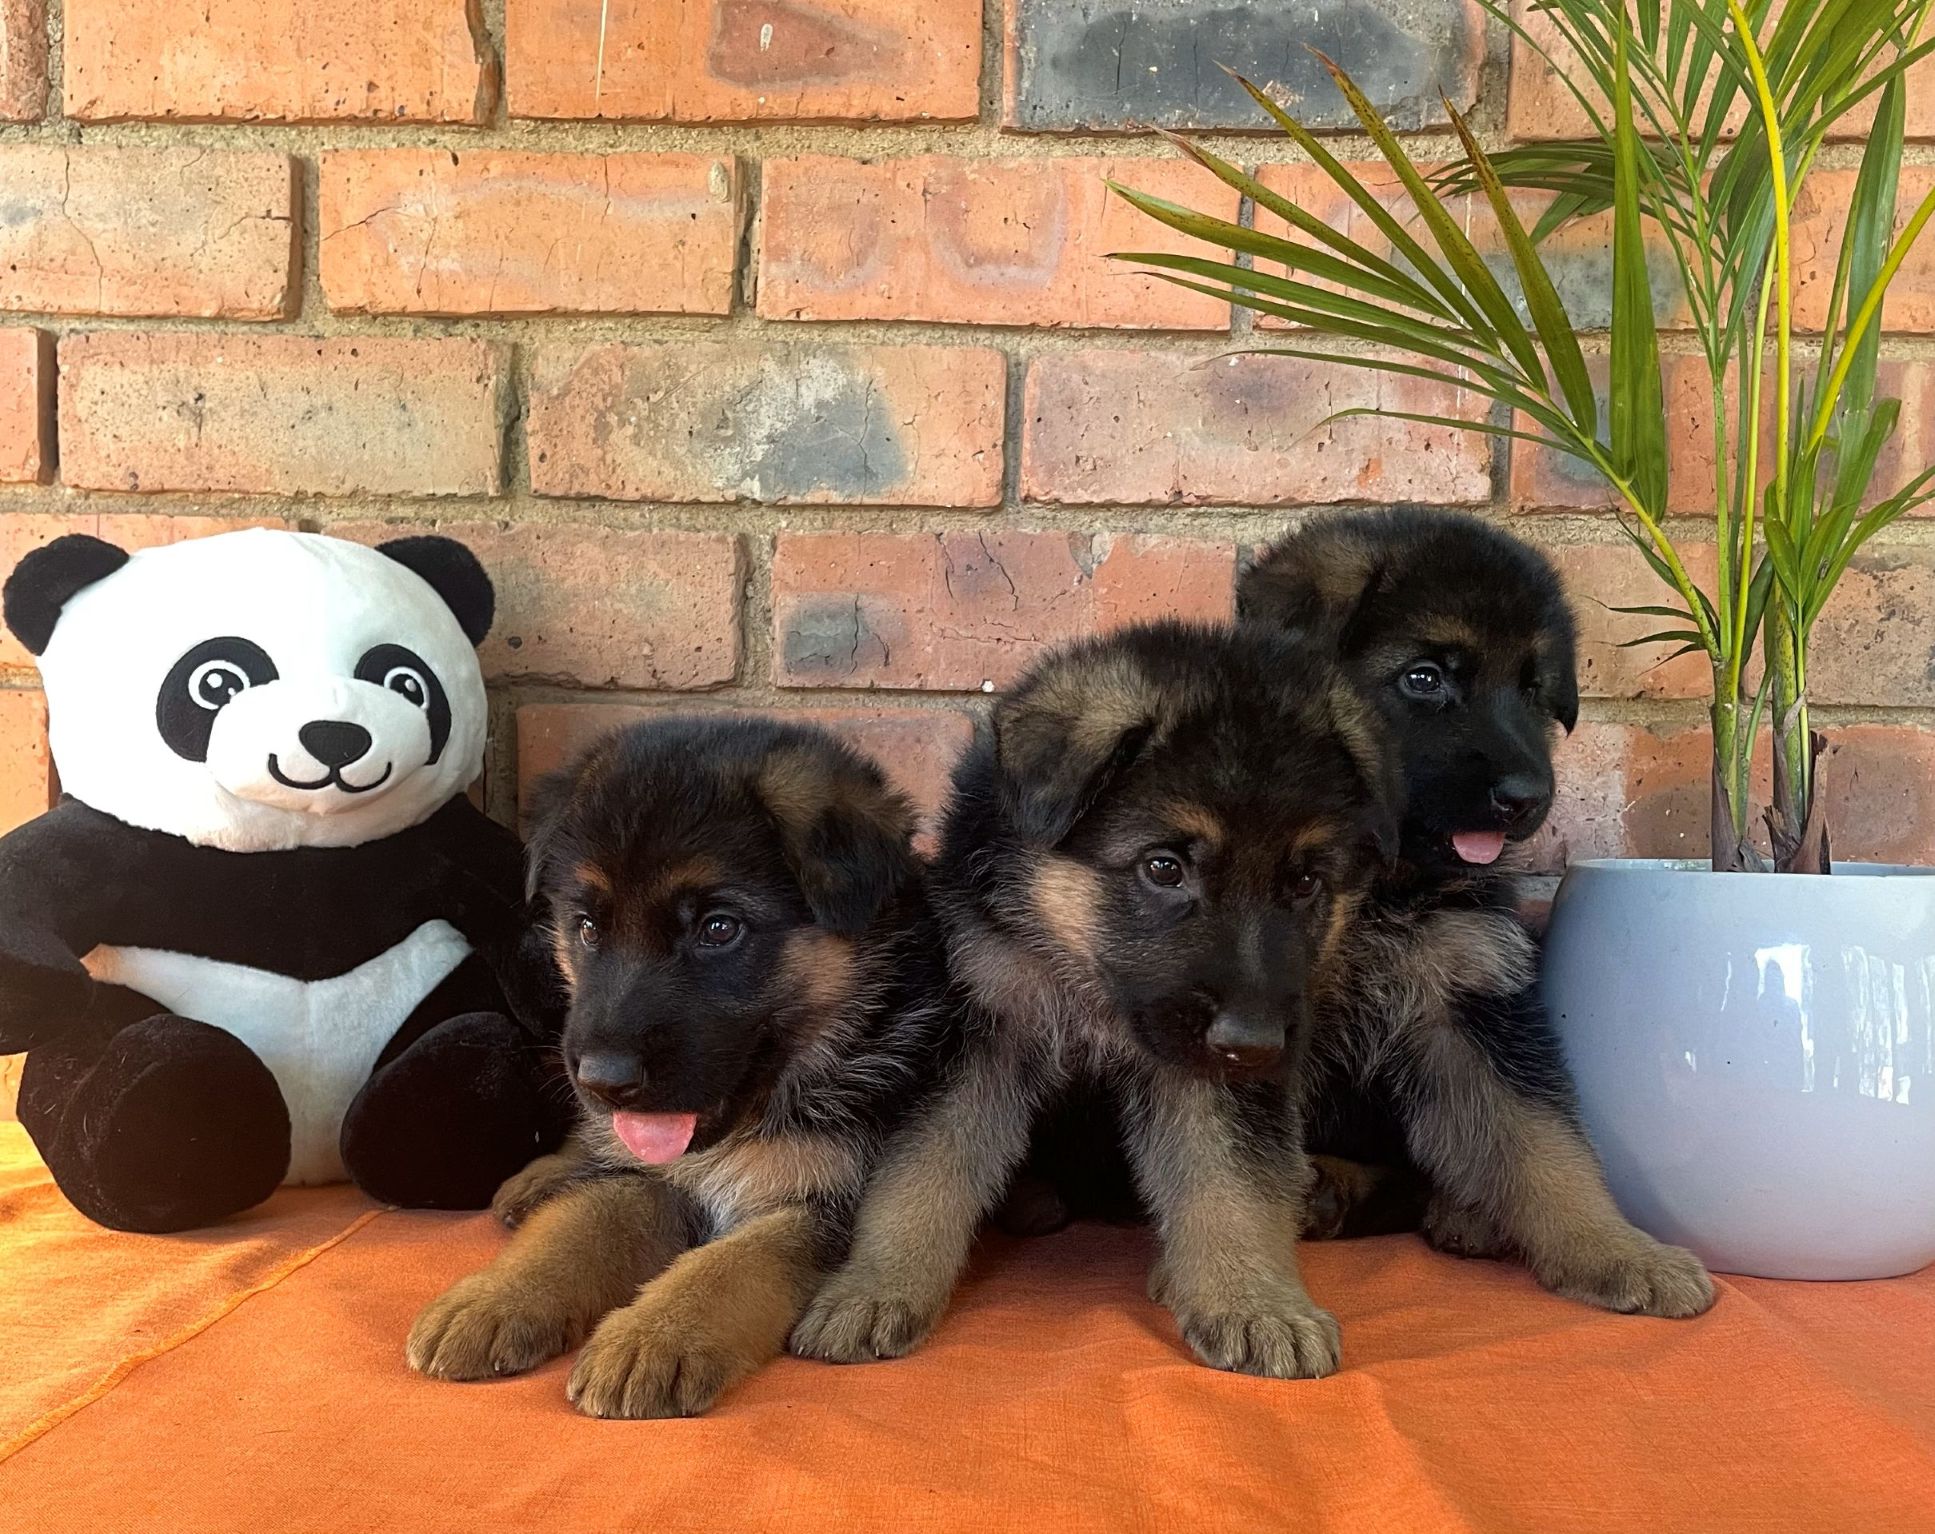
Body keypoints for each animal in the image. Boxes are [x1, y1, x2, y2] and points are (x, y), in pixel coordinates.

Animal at [405, 716, 954, 1417]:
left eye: (719, 929)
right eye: (587, 927)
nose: (604, 1082)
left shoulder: (819, 1204)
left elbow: (730, 1266)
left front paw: (654, 1338)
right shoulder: (645, 1176)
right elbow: (576, 1225)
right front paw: (494, 1297)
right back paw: (545, 1176)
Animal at [790, 621, 1403, 1379]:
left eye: (1306, 882)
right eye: (1163, 868)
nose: (1255, 1044)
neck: (1083, 974)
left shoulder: (1214, 1075)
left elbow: (1233, 1181)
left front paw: (1254, 1301)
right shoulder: (977, 1033)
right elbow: (925, 1170)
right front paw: (875, 1287)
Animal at [1240, 506, 1714, 1317]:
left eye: (1531, 689)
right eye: (1423, 678)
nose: (1526, 797)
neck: (1382, 889)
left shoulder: (1473, 1006)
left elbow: (1548, 1148)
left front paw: (1617, 1252)